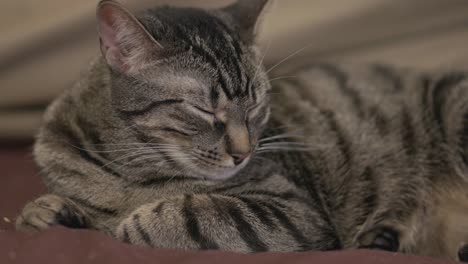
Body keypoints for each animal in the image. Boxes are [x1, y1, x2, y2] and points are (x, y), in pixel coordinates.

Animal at [14, 0, 468, 260]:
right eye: (203, 109)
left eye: (257, 106)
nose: (244, 152)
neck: (129, 171)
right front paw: (47, 211)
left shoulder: (292, 210)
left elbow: (182, 213)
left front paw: (131, 222)